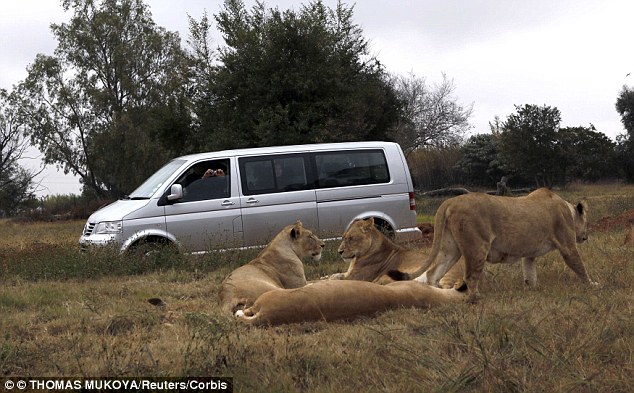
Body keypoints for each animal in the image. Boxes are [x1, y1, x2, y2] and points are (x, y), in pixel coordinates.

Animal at [326, 216, 464, 286]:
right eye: (343, 237)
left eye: (351, 238)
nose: (339, 251)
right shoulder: (348, 273)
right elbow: (334, 275)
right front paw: (330, 276)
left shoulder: (356, 277)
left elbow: (332, 280)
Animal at [388, 188, 596, 302]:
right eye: (586, 222)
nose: (585, 237)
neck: (567, 209)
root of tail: (450, 201)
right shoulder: (567, 245)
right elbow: (580, 266)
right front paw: (592, 284)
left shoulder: (529, 254)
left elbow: (530, 274)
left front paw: (533, 290)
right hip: (477, 246)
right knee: (470, 277)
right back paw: (476, 299)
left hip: (450, 249)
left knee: (433, 273)